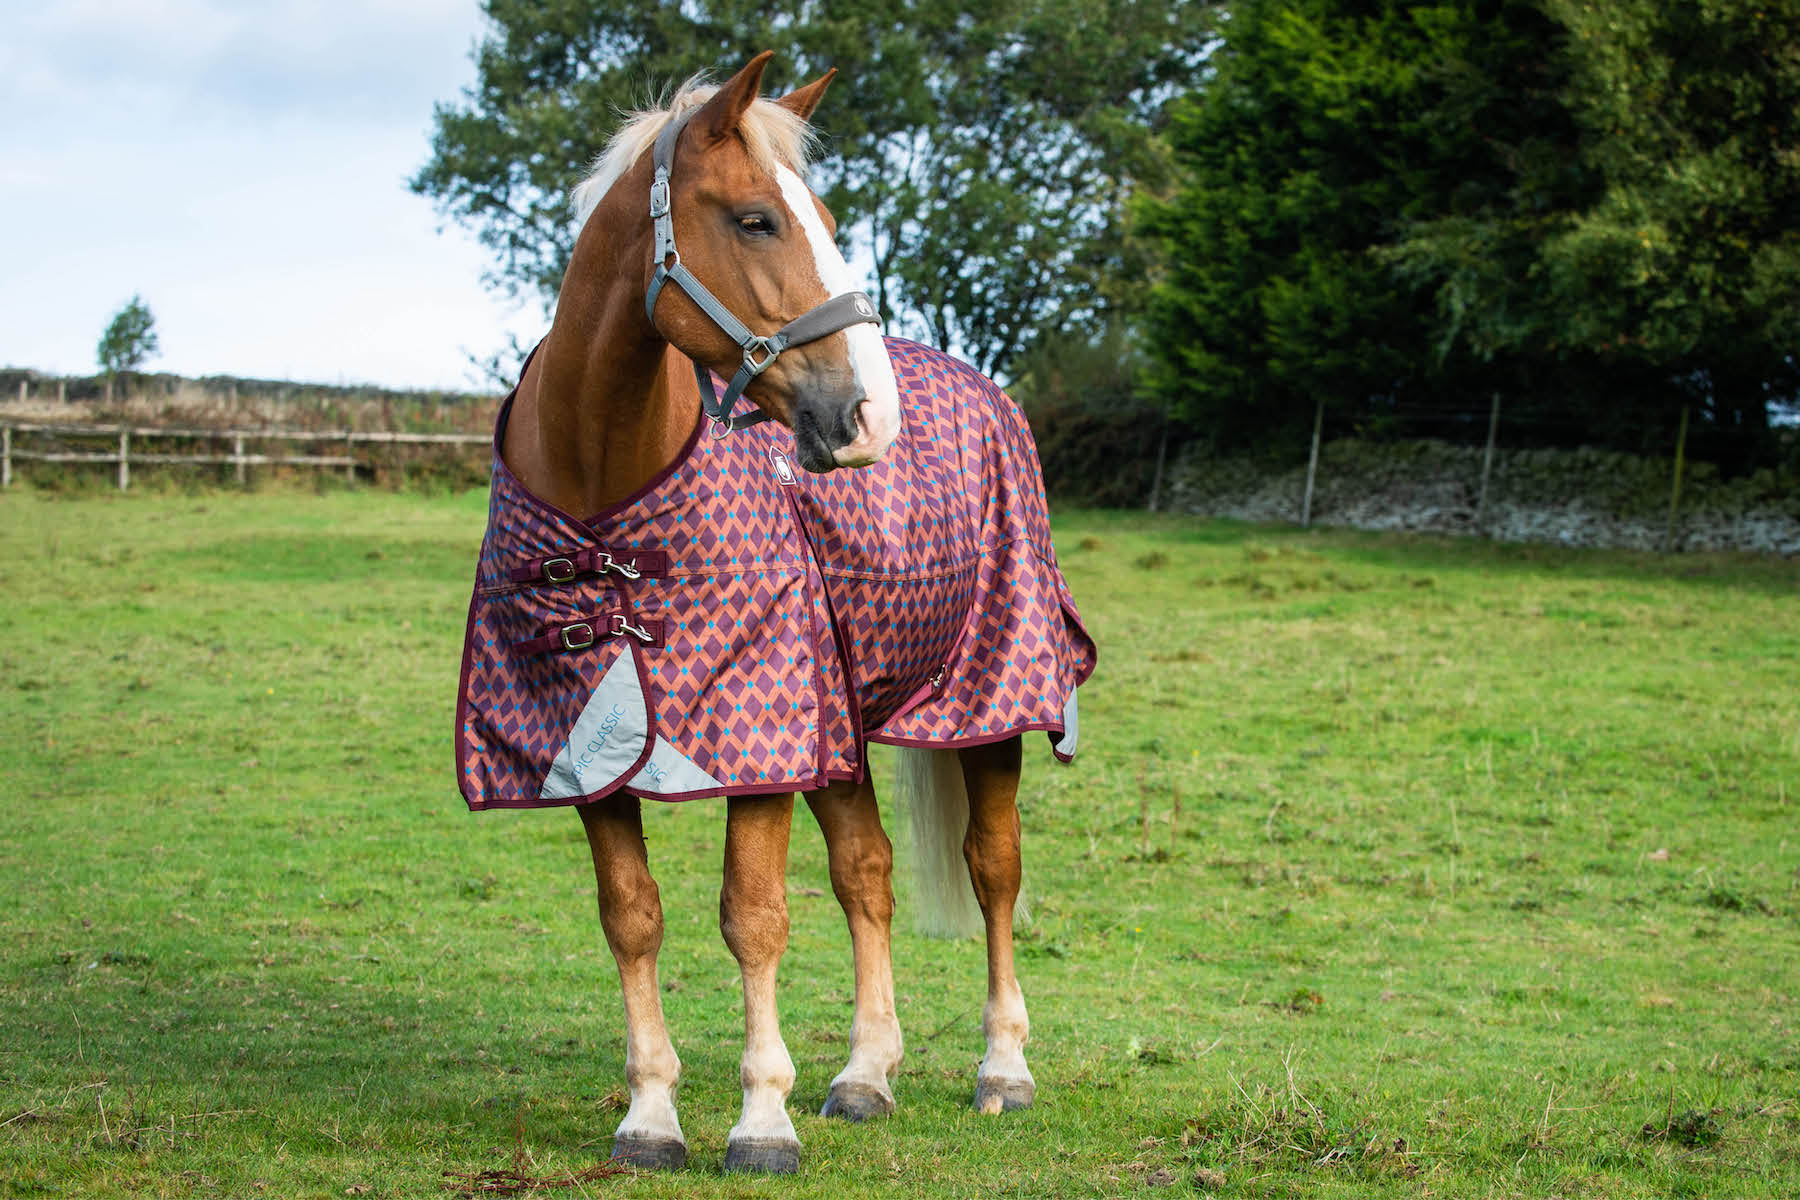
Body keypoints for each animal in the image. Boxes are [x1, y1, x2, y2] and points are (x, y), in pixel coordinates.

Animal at [457, 53, 1087, 1173]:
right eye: (755, 220)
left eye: (825, 215)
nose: (870, 415)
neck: (604, 498)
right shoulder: (586, 754)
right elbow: (633, 917)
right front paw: (650, 1117)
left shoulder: (761, 748)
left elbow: (752, 918)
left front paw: (760, 1121)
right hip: (843, 727)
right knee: (866, 873)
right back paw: (865, 1074)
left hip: (990, 705)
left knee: (994, 871)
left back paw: (1002, 1069)